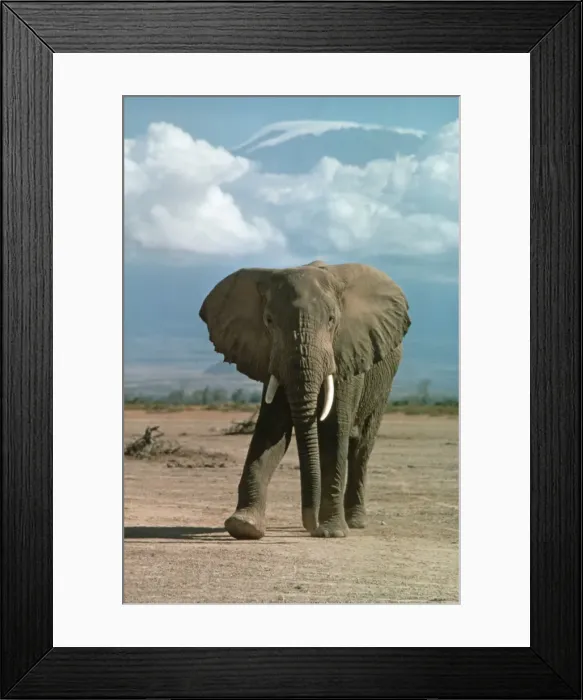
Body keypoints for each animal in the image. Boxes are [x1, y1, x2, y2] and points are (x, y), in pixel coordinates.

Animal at [199, 260, 411, 539]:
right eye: (269, 320)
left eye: (332, 320)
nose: (310, 526)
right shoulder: (271, 357)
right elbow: (272, 430)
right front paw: (243, 526)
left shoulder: (347, 354)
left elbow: (334, 430)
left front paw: (331, 533)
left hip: (383, 384)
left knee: (361, 447)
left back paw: (354, 522)